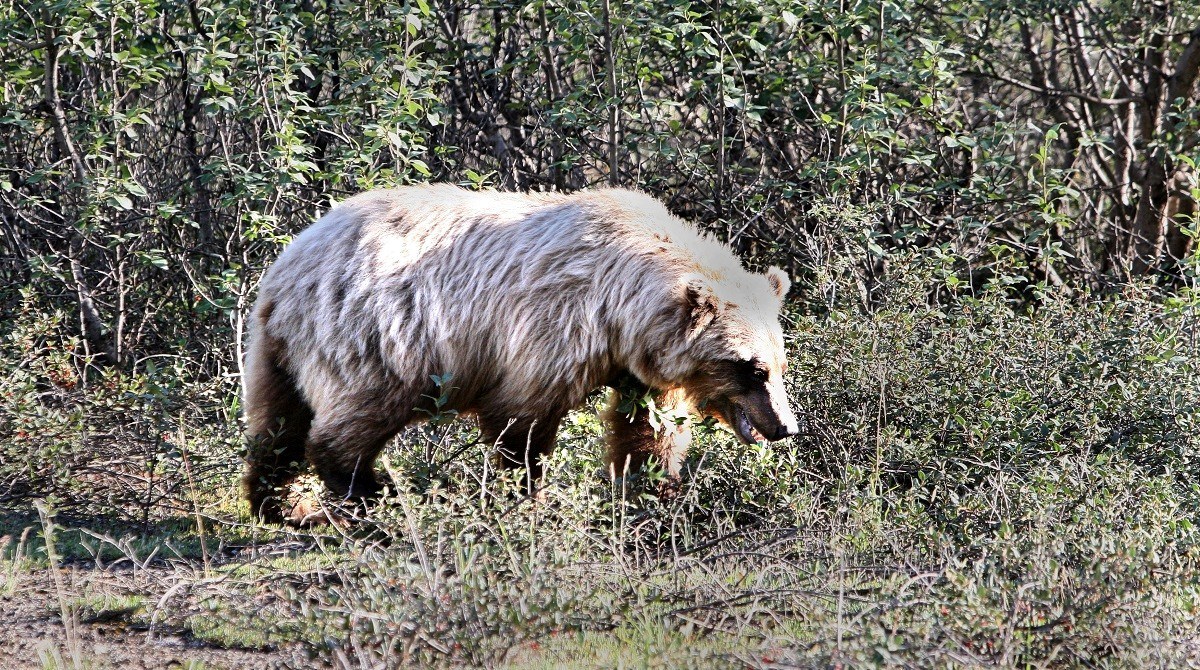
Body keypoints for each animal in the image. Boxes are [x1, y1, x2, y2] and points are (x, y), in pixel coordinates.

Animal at [242, 183, 796, 525]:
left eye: (779, 363)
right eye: (751, 368)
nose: (785, 426)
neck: (621, 310)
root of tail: (287, 268)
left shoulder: (638, 364)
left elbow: (648, 428)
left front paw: (654, 490)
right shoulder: (552, 325)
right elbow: (521, 420)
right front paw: (529, 495)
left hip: (276, 349)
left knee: (278, 422)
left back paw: (278, 503)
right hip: (380, 335)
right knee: (355, 416)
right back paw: (369, 495)